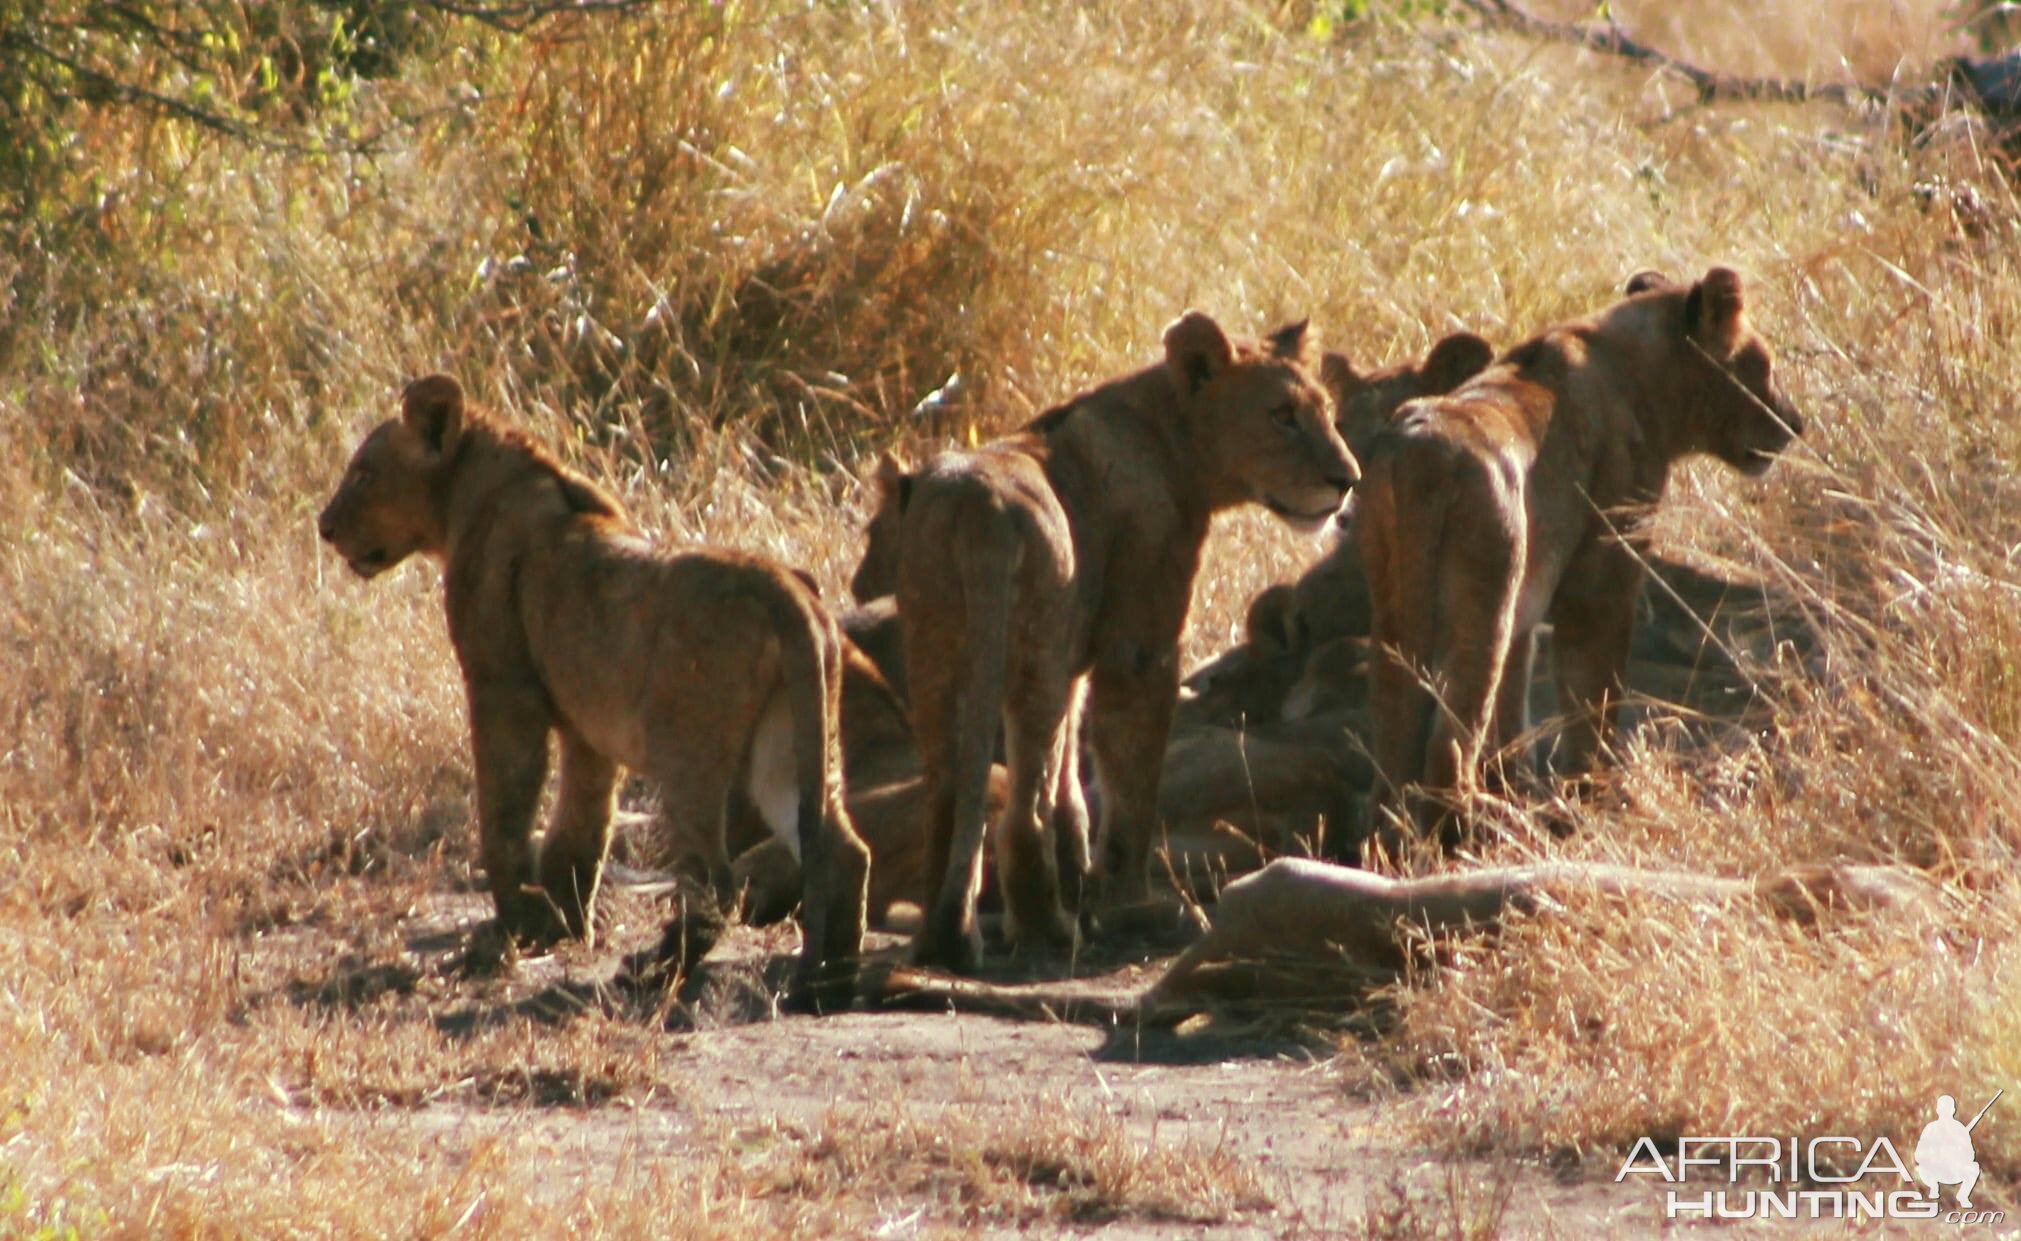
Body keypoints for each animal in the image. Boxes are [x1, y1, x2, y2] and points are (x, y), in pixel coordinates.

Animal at [319, 375, 873, 1010]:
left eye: (364, 473)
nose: (325, 526)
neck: (471, 488)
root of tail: (785, 591)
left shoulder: (501, 689)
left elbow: (505, 811)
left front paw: (515, 927)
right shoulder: (586, 725)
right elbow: (582, 822)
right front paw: (564, 923)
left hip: (688, 755)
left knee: (716, 881)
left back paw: (655, 972)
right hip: (784, 740)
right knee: (841, 851)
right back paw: (830, 984)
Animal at [869, 311, 1358, 974]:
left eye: (1326, 411)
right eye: (1282, 414)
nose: (1347, 481)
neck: (1171, 439)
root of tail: (980, 509)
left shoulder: (1082, 653)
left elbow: (1073, 784)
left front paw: (1084, 886)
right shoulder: (1140, 646)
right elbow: (1132, 775)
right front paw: (1131, 904)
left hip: (937, 653)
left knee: (948, 791)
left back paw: (945, 936)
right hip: (1036, 656)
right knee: (1021, 810)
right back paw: (1046, 930)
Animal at [1350, 266, 1810, 840]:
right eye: (1761, 364)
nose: (1796, 423)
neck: (1640, 376)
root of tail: (1419, 457)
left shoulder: (1528, 610)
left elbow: (1513, 715)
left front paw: (1520, 786)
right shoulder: (1602, 578)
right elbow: (1593, 691)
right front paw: (1592, 795)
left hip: (1397, 607)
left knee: (1394, 736)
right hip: (1484, 598)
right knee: (1449, 745)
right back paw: (1478, 826)